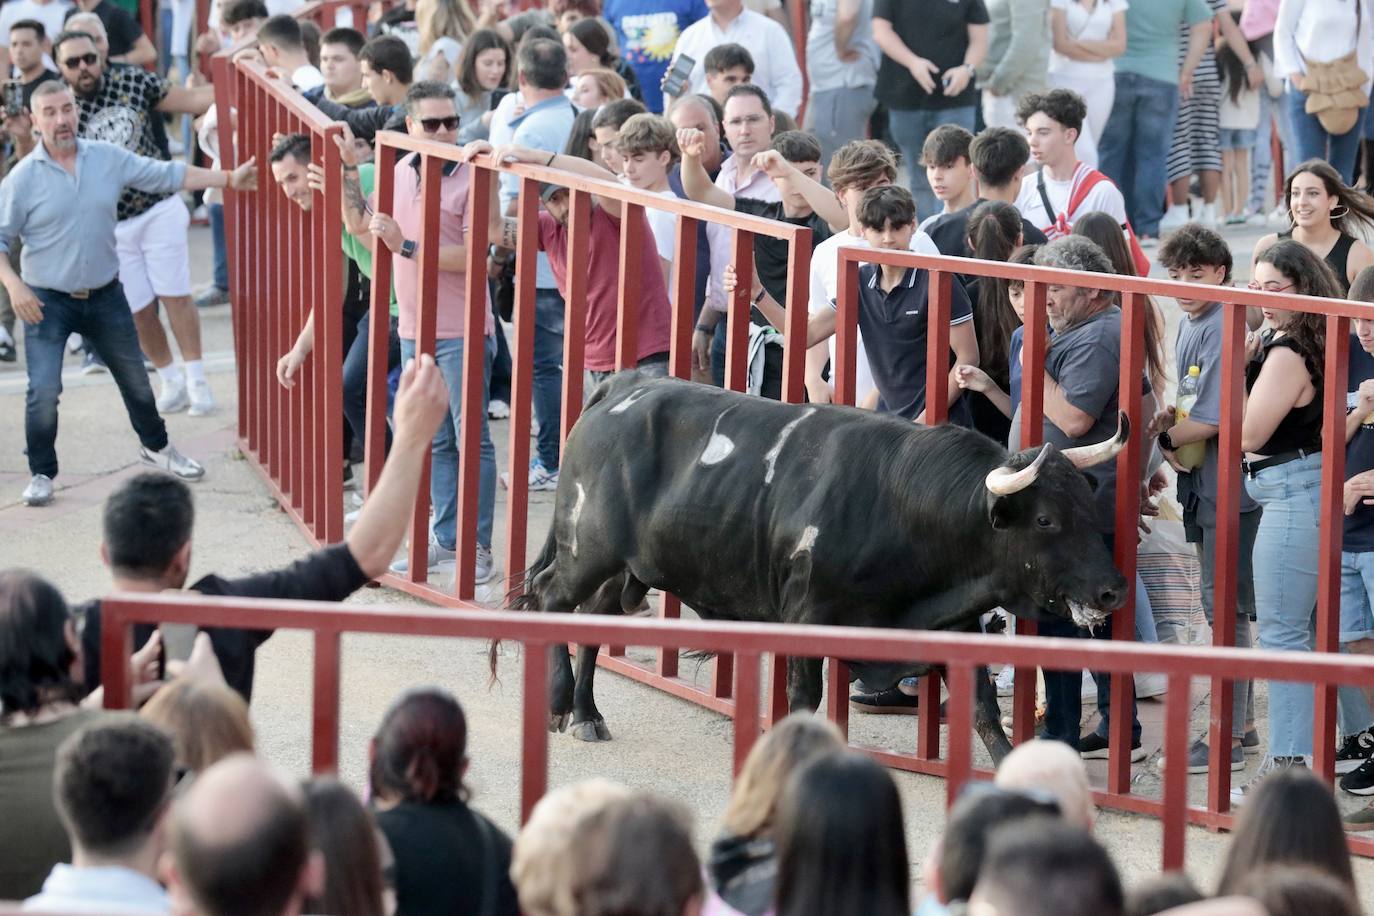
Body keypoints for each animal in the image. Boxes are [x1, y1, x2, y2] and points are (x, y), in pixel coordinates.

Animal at [502, 373, 1126, 758]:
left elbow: (985, 714)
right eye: (1045, 519)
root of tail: (625, 386)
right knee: (550, 597)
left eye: (1088, 505)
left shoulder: (954, 628)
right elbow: (805, 701)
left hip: (623, 569)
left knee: (591, 619)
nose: (1112, 591)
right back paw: (560, 705)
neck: (903, 509)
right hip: (587, 550)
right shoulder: (806, 620)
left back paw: (587, 711)